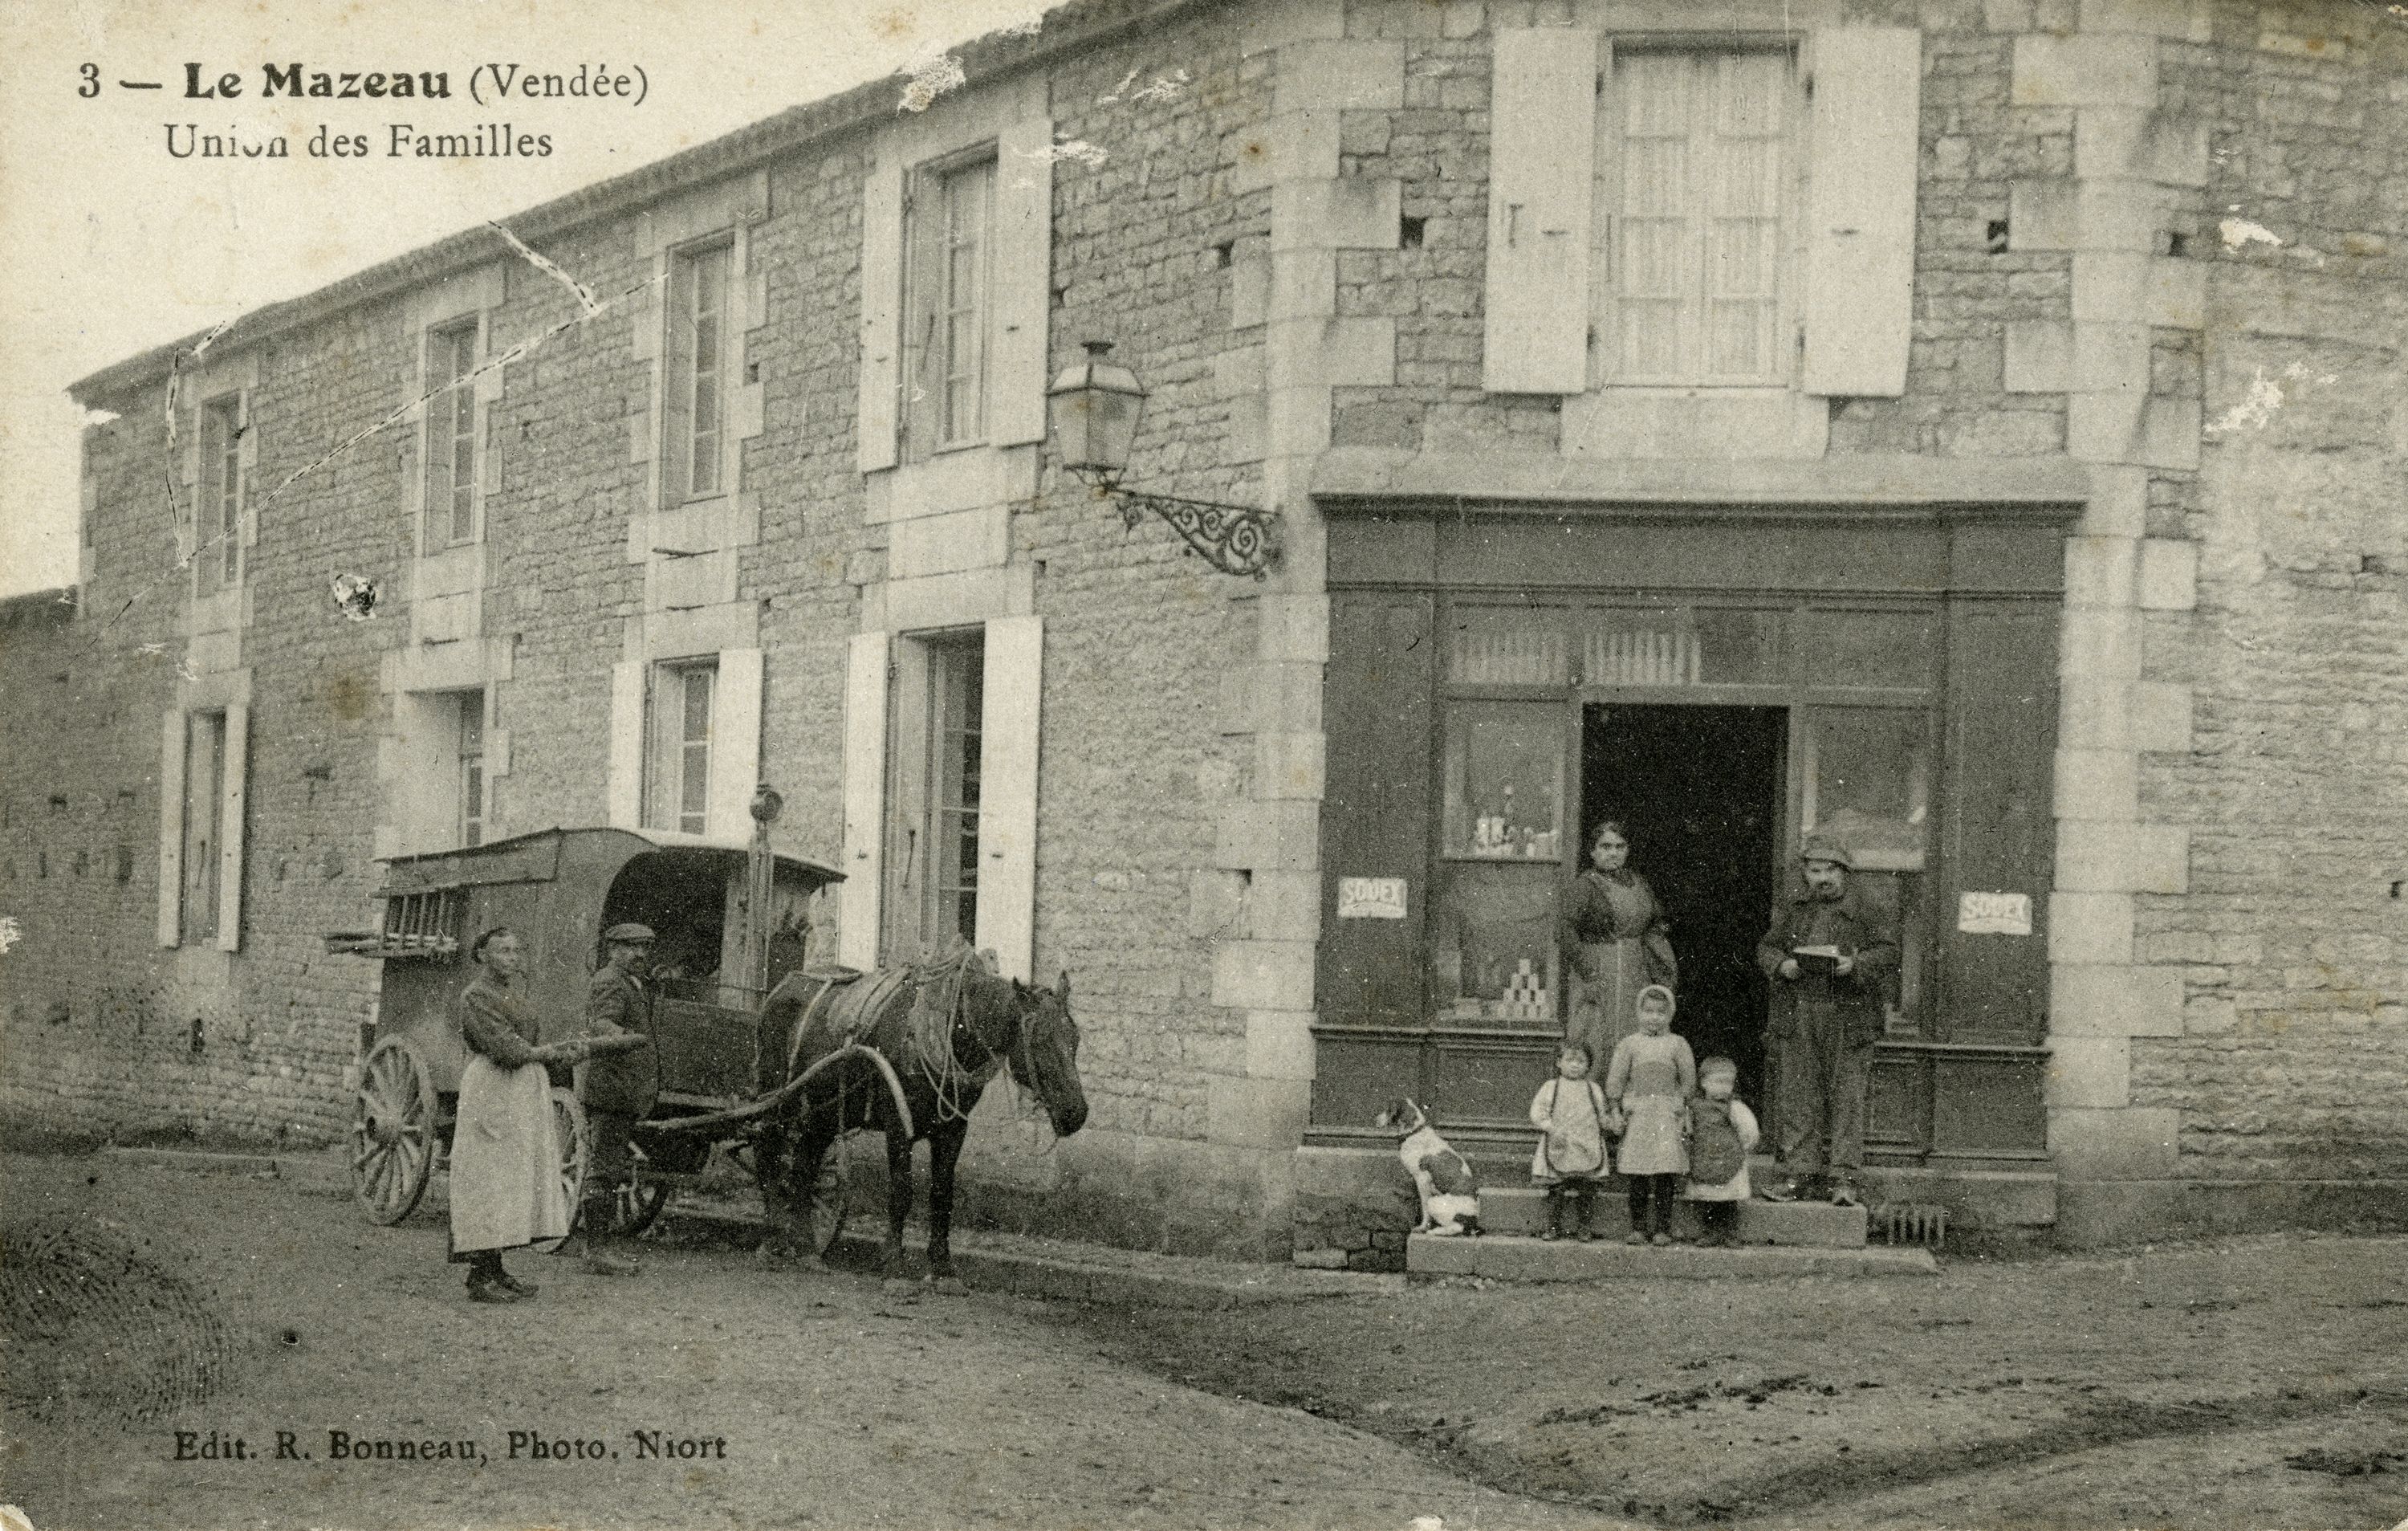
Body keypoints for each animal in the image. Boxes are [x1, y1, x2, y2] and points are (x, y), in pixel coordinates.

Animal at [751, 958, 1093, 1290]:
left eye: (1075, 1039)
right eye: (1040, 1041)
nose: (1075, 1112)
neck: (943, 1034)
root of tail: (782, 986)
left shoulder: (954, 1130)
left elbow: (942, 1196)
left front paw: (942, 1270)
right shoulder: (898, 1125)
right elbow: (901, 1193)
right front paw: (895, 1267)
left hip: (822, 1113)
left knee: (803, 1167)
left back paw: (806, 1248)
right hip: (778, 1101)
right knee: (768, 1157)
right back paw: (772, 1239)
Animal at [1387, 1093, 1474, 1242]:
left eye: (1387, 1109)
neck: (1415, 1131)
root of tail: (1473, 1219)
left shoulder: (1422, 1180)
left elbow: (1424, 1209)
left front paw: (1422, 1227)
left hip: (1435, 1202)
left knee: (1456, 1227)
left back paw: (1435, 1231)